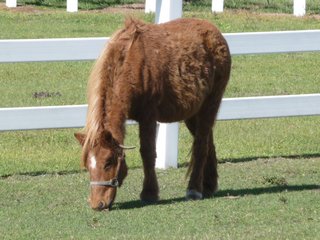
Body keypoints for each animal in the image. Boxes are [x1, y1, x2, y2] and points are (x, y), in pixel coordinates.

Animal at [74, 17, 230, 211]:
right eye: (88, 164)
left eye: (109, 161)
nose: (98, 204)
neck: (129, 63)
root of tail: (214, 31)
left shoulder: (148, 117)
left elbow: (147, 152)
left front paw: (149, 193)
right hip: (193, 112)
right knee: (208, 142)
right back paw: (208, 185)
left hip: (210, 104)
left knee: (201, 145)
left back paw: (194, 189)